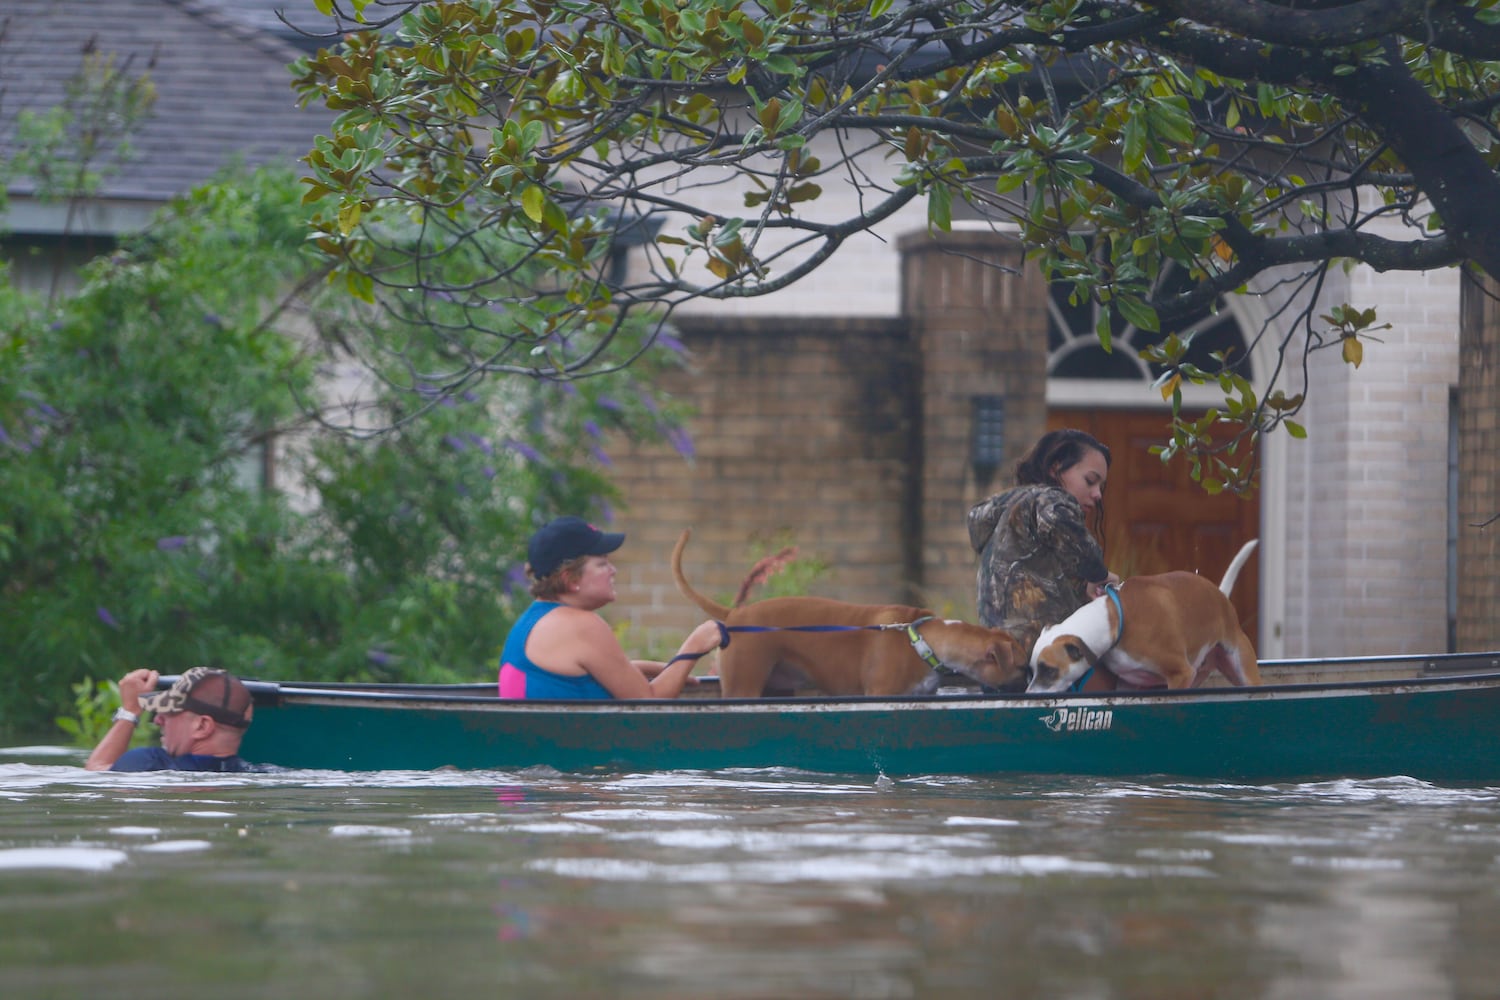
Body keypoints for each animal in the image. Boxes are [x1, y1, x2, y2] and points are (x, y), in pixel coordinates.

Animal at [672, 527, 1032, 701]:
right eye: (1020, 666)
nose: (1029, 681)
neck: (924, 639)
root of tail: (736, 615)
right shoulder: (881, 694)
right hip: (743, 686)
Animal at [1026, 539, 1260, 695]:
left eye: (1049, 670)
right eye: (1032, 670)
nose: (1028, 696)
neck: (1114, 619)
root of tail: (1222, 597)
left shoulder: (1181, 674)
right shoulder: (1129, 685)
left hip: (1243, 670)